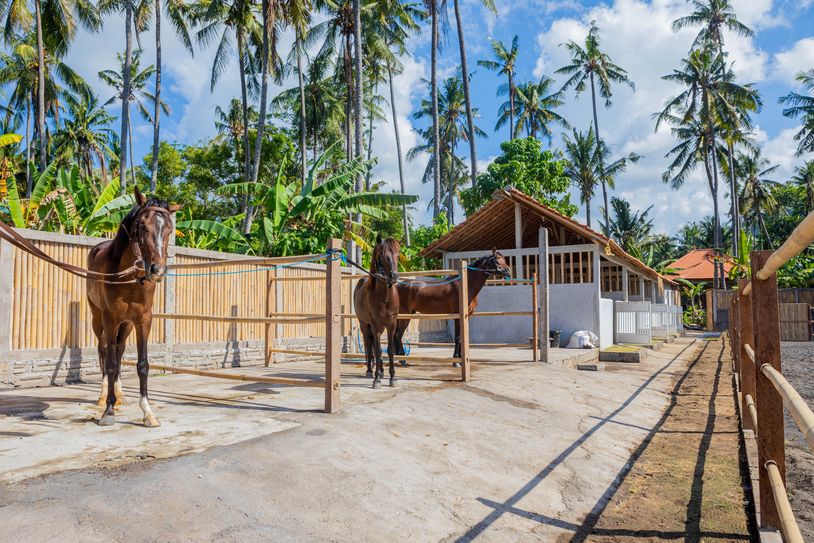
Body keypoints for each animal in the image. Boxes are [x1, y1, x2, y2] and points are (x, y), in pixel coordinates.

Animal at [87, 188, 181, 430]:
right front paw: (108, 411)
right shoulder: (110, 319)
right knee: (104, 350)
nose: (157, 270)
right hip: (97, 319)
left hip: (126, 324)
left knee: (119, 350)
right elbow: (110, 363)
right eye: (142, 226)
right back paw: (104, 395)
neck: (128, 278)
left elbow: (142, 364)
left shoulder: (143, 320)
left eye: (169, 229)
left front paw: (148, 413)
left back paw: (119, 394)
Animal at [354, 236, 402, 388]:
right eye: (383, 256)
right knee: (370, 346)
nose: (394, 276)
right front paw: (377, 380)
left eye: (397, 255)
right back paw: (371, 371)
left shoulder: (391, 325)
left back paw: (380, 371)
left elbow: (390, 350)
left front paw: (393, 378)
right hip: (365, 325)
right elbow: (378, 350)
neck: (384, 297)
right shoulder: (375, 325)